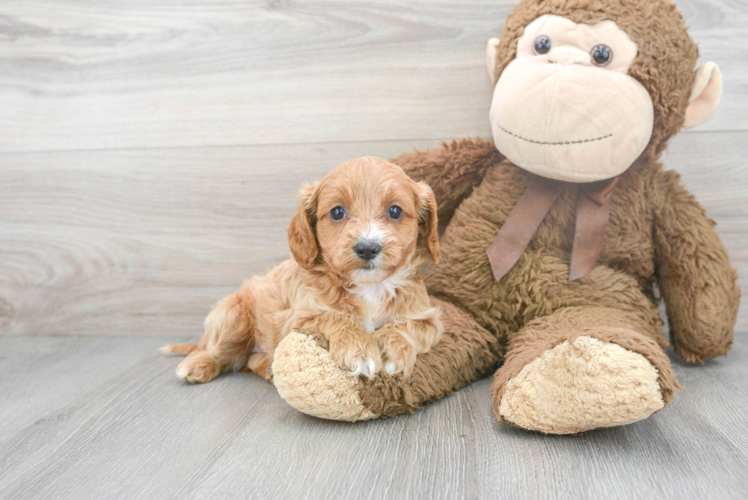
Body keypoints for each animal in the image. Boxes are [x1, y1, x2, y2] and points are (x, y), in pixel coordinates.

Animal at [162, 156, 444, 382]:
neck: (370, 287)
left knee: (248, 362)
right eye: (337, 212)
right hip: (233, 316)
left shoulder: (428, 317)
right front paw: (360, 350)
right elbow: (335, 316)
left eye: (395, 211)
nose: (367, 248)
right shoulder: (295, 318)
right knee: (216, 351)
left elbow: (413, 326)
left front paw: (392, 350)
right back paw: (197, 365)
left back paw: (268, 368)